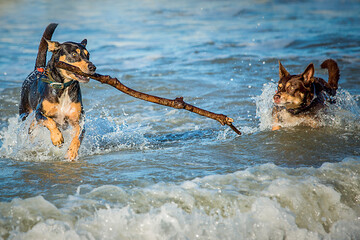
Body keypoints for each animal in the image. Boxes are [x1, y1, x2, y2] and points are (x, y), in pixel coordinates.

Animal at [19, 23, 95, 159]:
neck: (63, 87)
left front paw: (72, 152)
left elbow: (78, 135)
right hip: (25, 112)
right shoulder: (39, 113)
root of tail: (38, 69)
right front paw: (57, 138)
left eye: (88, 55)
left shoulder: (78, 120)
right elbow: (49, 121)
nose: (93, 67)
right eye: (74, 55)